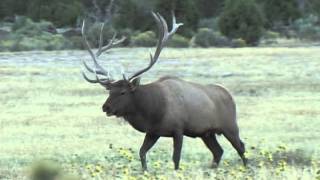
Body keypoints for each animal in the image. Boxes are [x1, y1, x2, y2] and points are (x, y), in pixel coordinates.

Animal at [80, 12, 248, 170]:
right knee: (218, 151)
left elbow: (176, 158)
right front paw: (145, 171)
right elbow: (141, 152)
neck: (153, 111)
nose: (105, 107)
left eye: (123, 92)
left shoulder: (178, 129)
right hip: (207, 133)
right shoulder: (153, 132)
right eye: (109, 91)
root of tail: (229, 94)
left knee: (241, 147)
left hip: (230, 126)